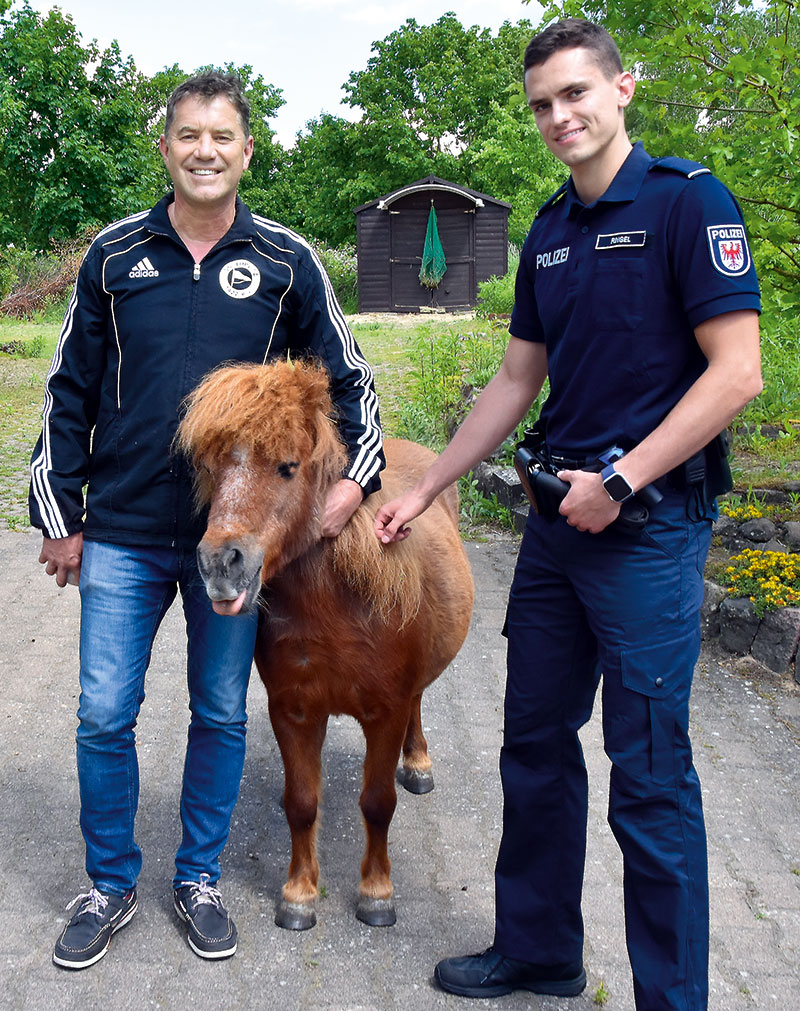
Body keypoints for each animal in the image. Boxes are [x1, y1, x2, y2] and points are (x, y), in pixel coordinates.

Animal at [176, 361, 475, 930]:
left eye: (288, 467)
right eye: (213, 468)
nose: (219, 564)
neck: (342, 608)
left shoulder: (386, 712)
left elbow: (377, 803)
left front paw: (376, 893)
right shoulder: (293, 712)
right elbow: (302, 802)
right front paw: (299, 893)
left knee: (419, 702)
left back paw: (417, 765)